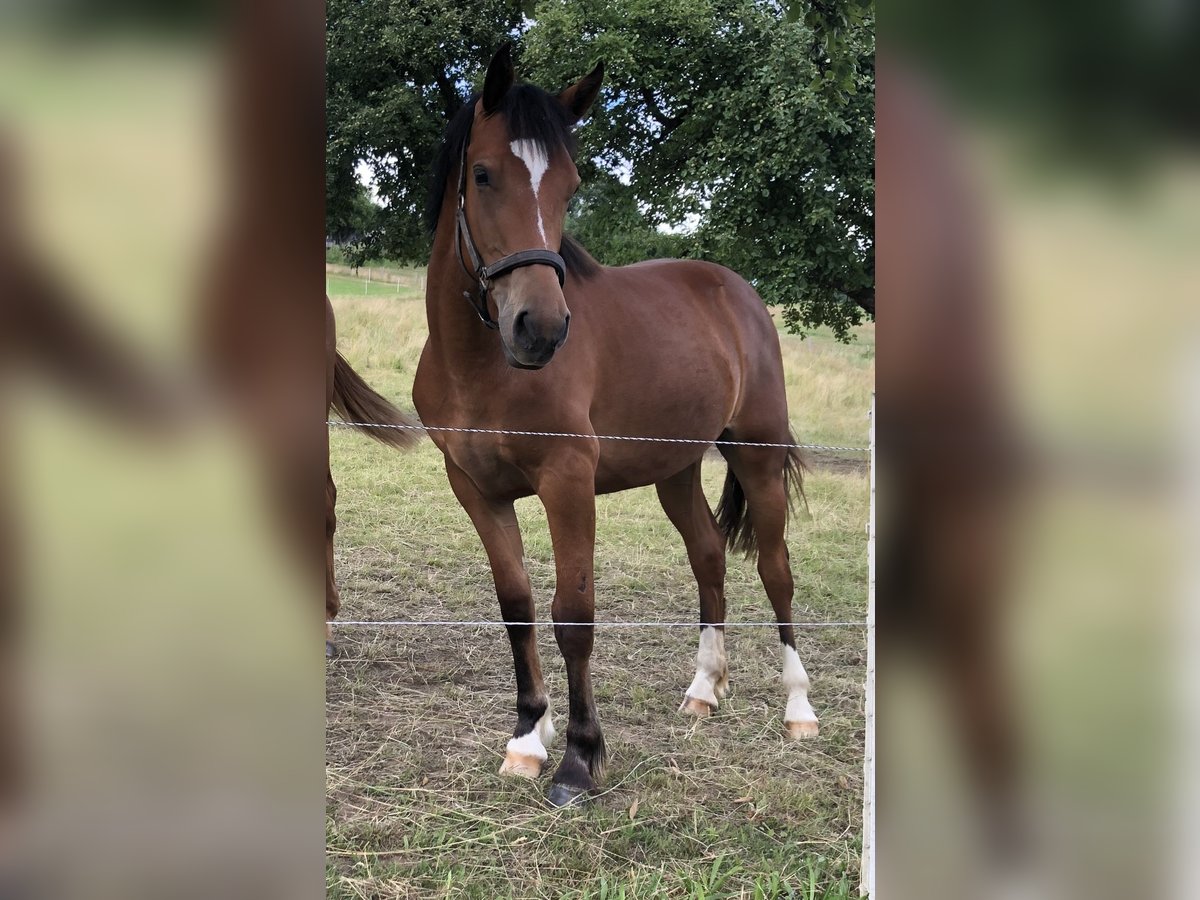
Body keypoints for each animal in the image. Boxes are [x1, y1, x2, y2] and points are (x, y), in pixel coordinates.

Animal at [412, 47, 816, 811]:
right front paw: (526, 738)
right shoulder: (474, 488)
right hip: (677, 470)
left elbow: (574, 614)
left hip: (756, 455)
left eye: (570, 186)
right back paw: (702, 692)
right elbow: (517, 605)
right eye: (483, 174)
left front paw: (578, 758)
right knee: (709, 558)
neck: (483, 367)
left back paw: (799, 708)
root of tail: (735, 290)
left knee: (776, 571)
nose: (540, 329)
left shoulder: (567, 481)